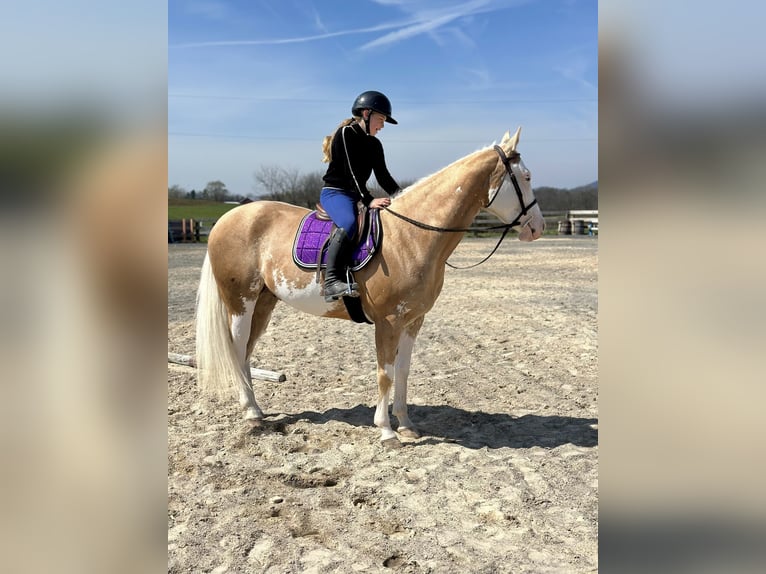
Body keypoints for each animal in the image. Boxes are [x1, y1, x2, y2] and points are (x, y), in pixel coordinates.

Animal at [195, 127, 545, 447]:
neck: (410, 236)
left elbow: (402, 371)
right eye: (526, 176)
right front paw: (386, 431)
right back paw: (252, 413)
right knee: (237, 349)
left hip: (264, 303)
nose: (537, 228)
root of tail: (229, 217)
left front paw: (406, 425)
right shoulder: (387, 322)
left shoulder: (413, 321)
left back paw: (255, 409)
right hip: (241, 302)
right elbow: (385, 373)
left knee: (246, 352)